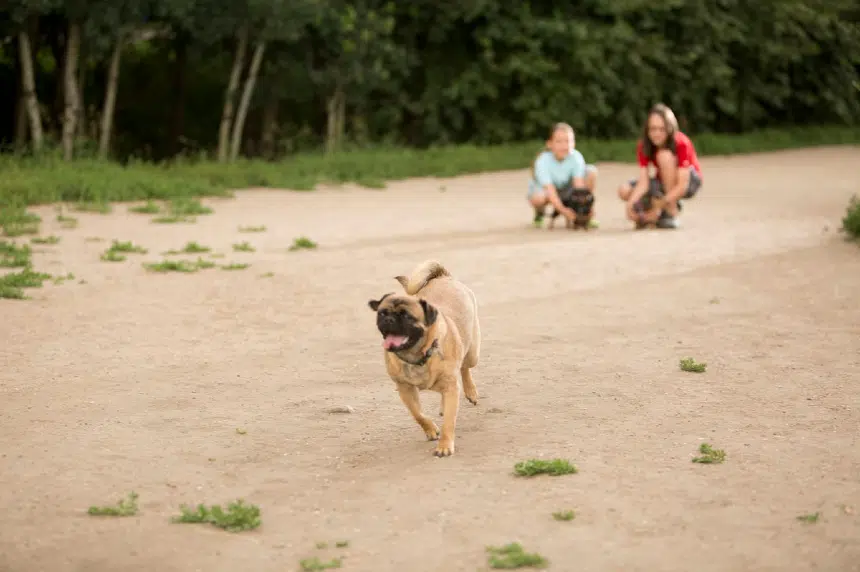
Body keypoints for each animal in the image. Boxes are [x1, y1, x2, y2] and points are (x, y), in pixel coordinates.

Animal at [366, 262, 480, 458]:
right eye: (381, 313)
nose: (389, 319)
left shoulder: (450, 385)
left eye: (407, 316)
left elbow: (449, 422)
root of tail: (443, 276)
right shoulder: (405, 389)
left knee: (464, 367)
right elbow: (418, 414)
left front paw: (444, 446)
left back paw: (470, 392)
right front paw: (431, 430)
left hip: (472, 353)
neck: (417, 355)